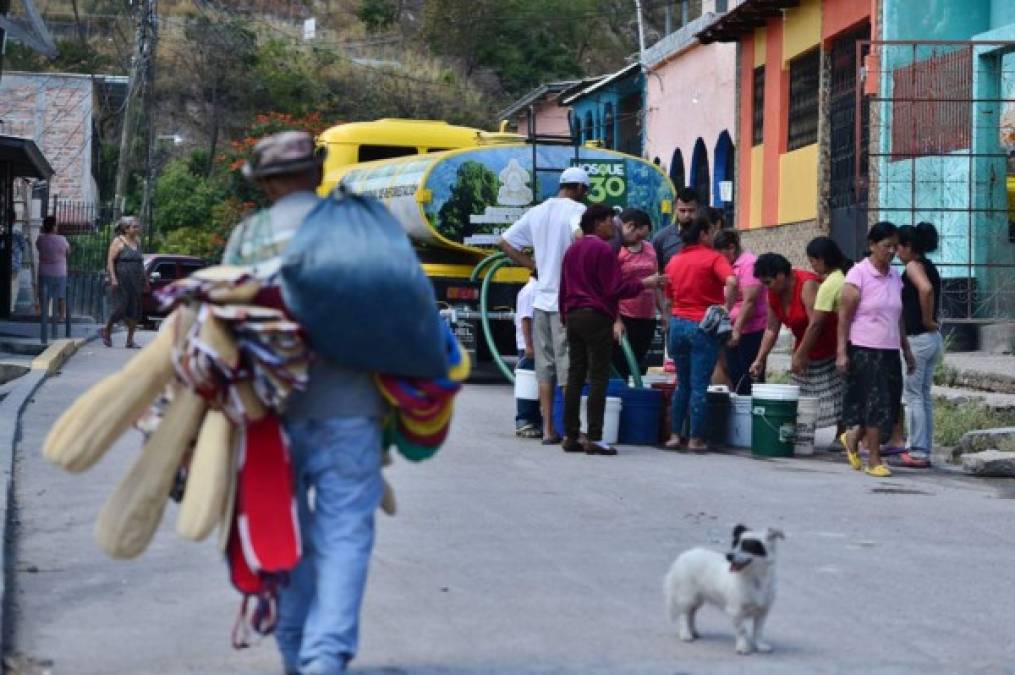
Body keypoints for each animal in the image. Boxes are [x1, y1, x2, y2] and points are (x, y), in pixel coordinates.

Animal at [665, 519, 783, 653]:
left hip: (698, 599)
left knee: (692, 613)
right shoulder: (735, 611)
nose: (729, 556)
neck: (754, 578)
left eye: (747, 547)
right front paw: (743, 647)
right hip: (687, 596)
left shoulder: (762, 611)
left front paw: (760, 645)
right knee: (684, 614)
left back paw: (694, 632)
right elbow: (742, 630)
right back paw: (686, 634)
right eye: (734, 544)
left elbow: (758, 631)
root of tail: (684, 555)